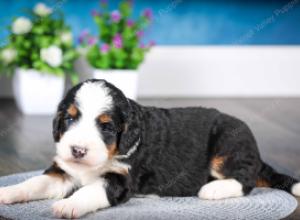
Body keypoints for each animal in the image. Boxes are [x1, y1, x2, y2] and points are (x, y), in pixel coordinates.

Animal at [0, 79, 300, 218]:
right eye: (70, 119)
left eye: (106, 127)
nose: (77, 150)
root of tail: (257, 152)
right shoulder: (63, 171)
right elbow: (34, 183)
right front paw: (8, 192)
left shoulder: (119, 179)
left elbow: (89, 191)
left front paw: (68, 205)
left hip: (228, 143)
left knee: (246, 179)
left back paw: (212, 189)